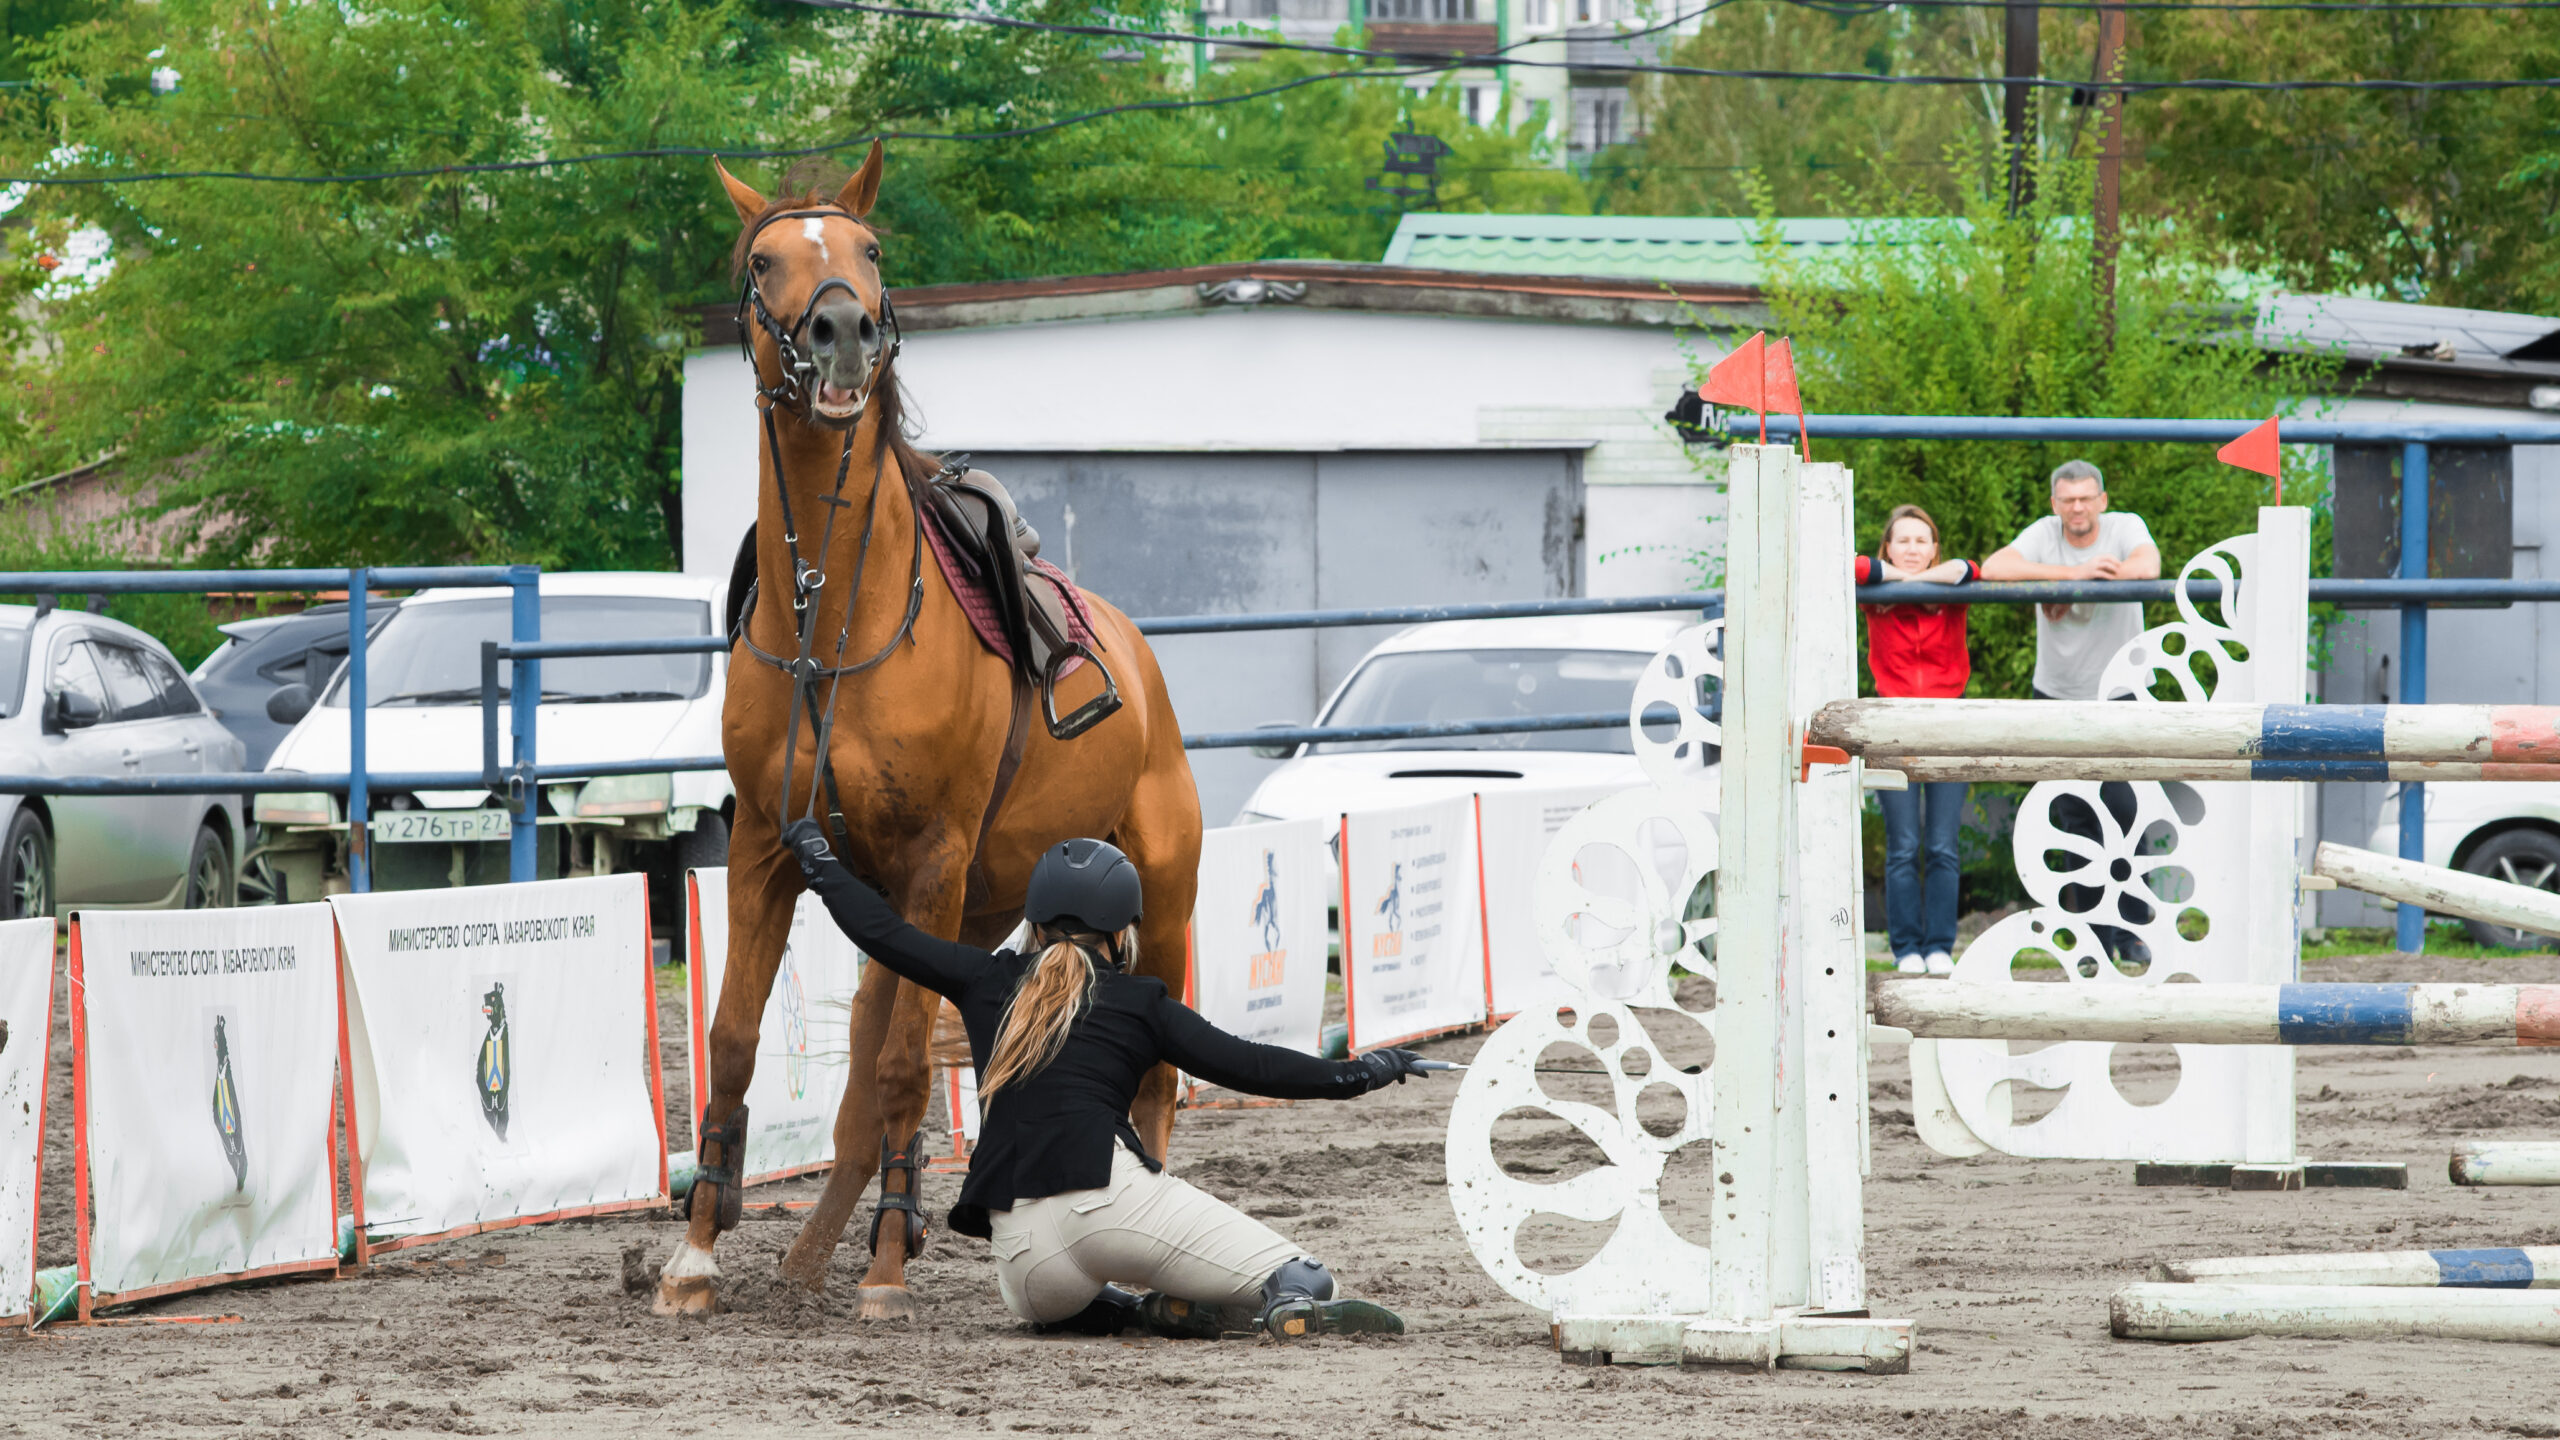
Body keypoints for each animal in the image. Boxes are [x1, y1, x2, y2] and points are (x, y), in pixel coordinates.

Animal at [670, 142, 1208, 1311]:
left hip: (1156, 900)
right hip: (945, 911)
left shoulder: (929, 859)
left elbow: (906, 1068)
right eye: (766, 260)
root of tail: (1141, 663)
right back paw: (811, 1254)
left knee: (1153, 1081)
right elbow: (734, 1042)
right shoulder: (768, 851)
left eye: (869, 249)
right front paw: (695, 1256)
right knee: (860, 1097)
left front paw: (882, 1268)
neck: (833, 619)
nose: (843, 328)